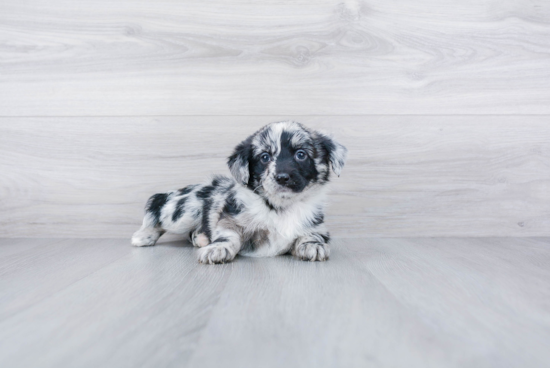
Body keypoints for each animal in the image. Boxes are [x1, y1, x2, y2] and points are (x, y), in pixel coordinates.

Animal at [133, 121, 350, 264]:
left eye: (301, 154)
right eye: (264, 157)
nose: (282, 177)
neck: (281, 207)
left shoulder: (317, 225)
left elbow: (312, 235)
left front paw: (312, 245)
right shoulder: (229, 219)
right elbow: (228, 236)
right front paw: (218, 248)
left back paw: (199, 238)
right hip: (185, 210)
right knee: (157, 204)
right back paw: (144, 236)